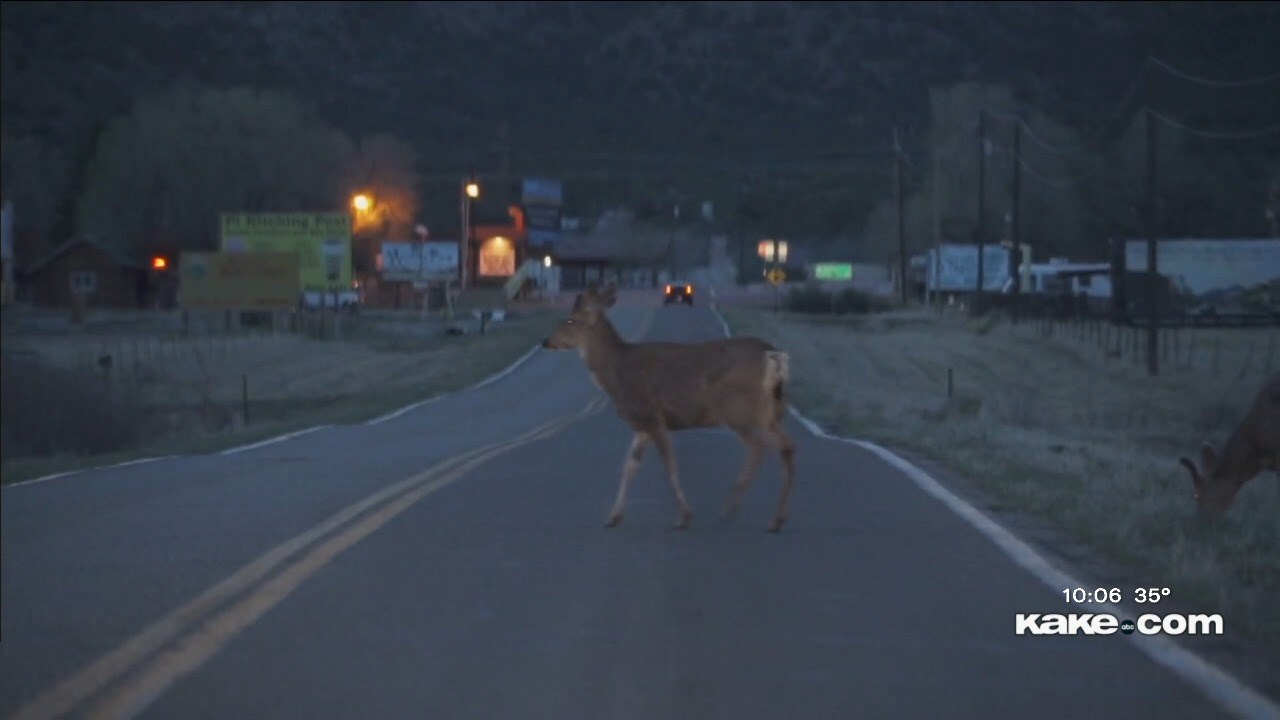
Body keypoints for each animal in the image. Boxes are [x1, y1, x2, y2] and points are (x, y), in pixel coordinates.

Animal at [535, 283, 793, 530]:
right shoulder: (642, 424)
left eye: (570, 320)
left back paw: (733, 509)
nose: (546, 341)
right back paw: (775, 519)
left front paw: (683, 517)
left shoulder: (652, 416)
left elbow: (669, 465)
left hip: (738, 408)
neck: (616, 371)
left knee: (759, 447)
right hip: (771, 410)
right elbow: (629, 466)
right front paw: (614, 517)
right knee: (786, 446)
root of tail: (773, 355)